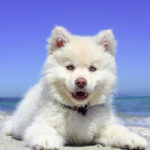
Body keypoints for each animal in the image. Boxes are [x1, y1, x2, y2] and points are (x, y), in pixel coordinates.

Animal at [2, 26, 148, 149]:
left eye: (92, 68)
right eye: (70, 67)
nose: (81, 82)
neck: (79, 110)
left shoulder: (104, 127)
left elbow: (119, 130)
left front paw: (133, 139)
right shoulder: (42, 122)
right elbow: (43, 129)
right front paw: (46, 140)